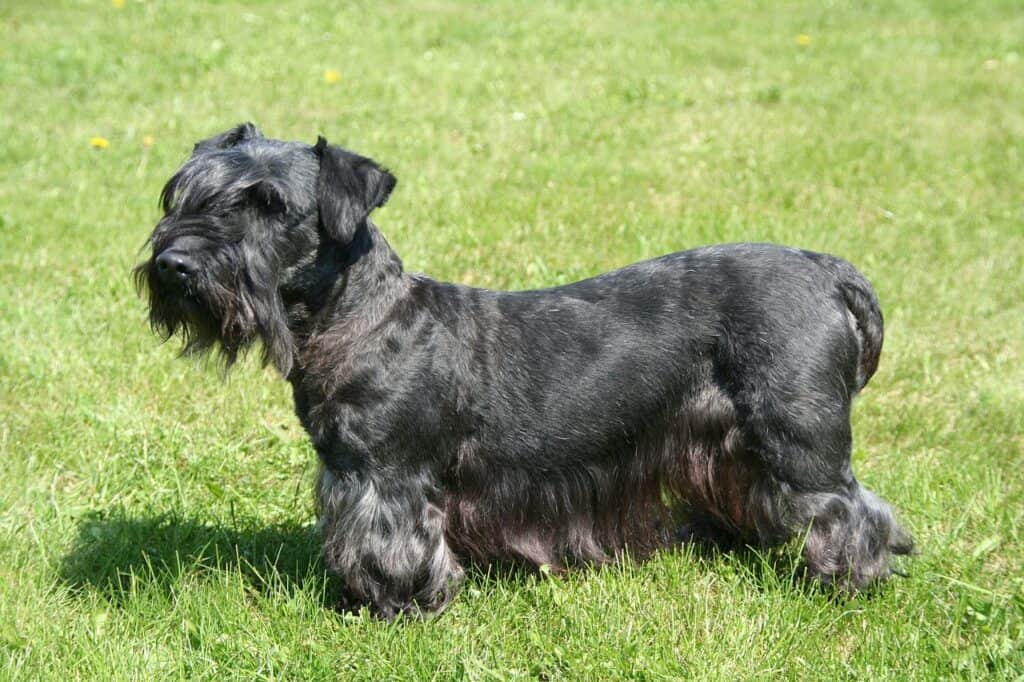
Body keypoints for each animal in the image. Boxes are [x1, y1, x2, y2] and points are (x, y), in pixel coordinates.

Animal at [134, 122, 913, 614]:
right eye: (185, 192)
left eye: (270, 206)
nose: (173, 266)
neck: (362, 320)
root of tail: (829, 271)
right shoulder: (349, 475)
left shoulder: (388, 481)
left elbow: (390, 547)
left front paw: (391, 609)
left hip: (798, 439)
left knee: (852, 508)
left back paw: (849, 583)